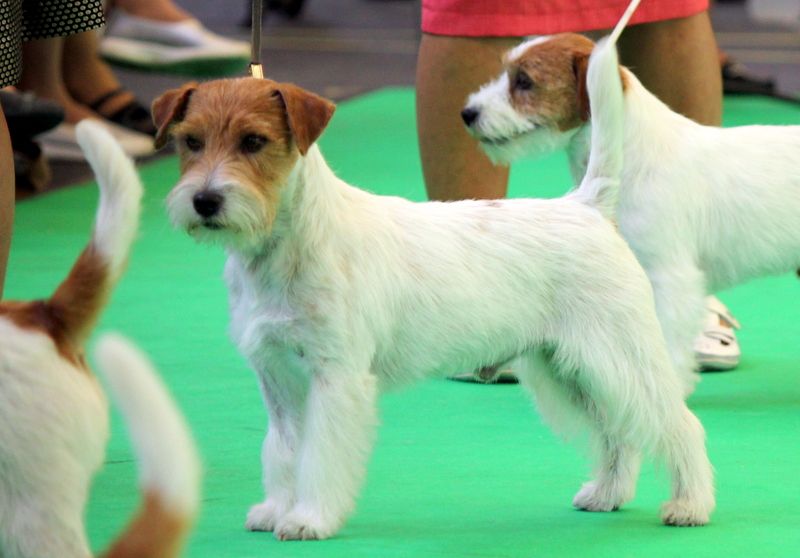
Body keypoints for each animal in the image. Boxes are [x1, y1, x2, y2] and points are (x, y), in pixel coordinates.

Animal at [153, 22, 713, 540]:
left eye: (254, 141)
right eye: (190, 141)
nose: (205, 201)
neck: (288, 245)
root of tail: (587, 206)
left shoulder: (336, 377)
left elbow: (321, 453)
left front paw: (310, 519)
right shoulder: (276, 377)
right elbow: (283, 450)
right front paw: (275, 510)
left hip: (619, 356)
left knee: (679, 424)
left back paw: (690, 505)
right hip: (568, 369)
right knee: (617, 433)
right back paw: (606, 494)